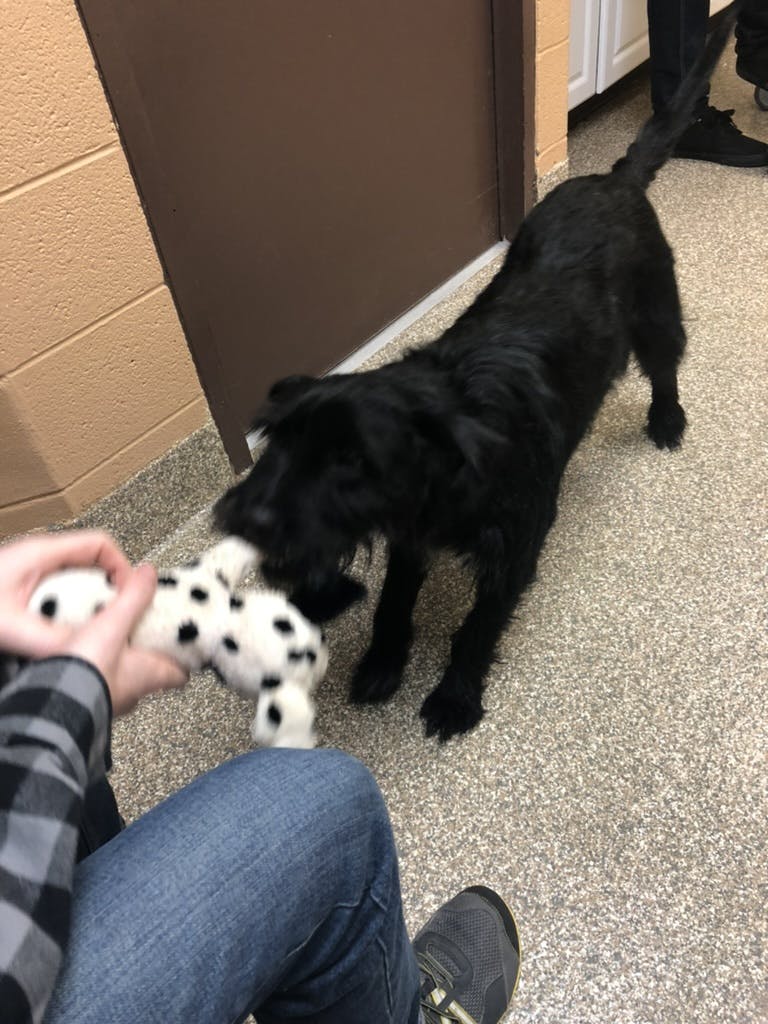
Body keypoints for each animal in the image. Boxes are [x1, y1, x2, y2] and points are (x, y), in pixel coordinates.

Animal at [217, 9, 741, 745]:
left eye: (350, 459)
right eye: (280, 442)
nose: (244, 516)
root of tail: (614, 179)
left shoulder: (516, 544)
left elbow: (476, 626)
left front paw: (455, 695)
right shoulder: (410, 535)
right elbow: (392, 603)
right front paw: (382, 663)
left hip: (659, 315)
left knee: (666, 369)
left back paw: (666, 419)